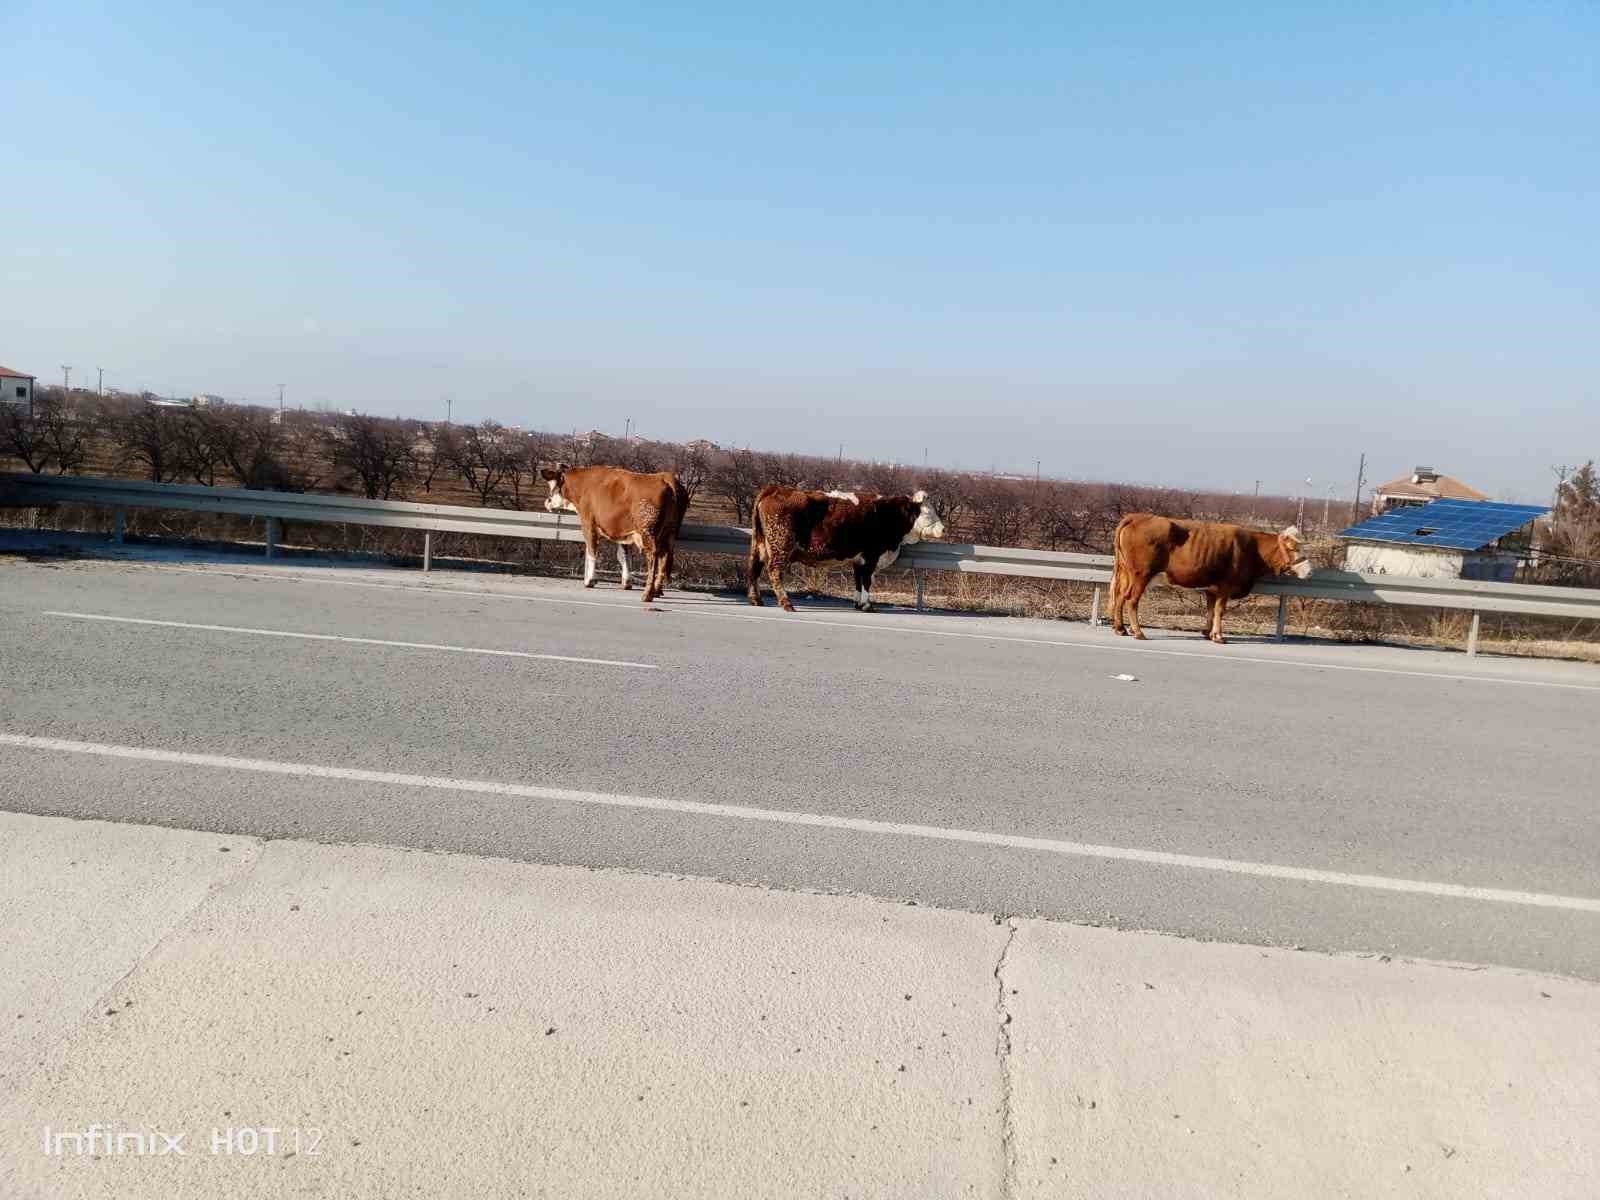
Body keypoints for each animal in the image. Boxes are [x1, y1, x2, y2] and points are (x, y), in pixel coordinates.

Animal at [544, 464, 688, 604]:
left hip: (648, 532)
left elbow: (592, 552)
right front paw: (626, 582)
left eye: (551, 484)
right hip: (669, 533)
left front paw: (589, 580)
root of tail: (665, 477)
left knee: (653, 557)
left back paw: (647, 594)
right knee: (664, 558)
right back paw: (657, 591)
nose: (547, 502)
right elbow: (623, 556)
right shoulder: (622, 533)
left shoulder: (588, 525)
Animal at [745, 483, 940, 611]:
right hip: (781, 545)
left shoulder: (859, 560)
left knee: (754, 568)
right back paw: (786, 603)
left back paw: (756, 599)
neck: (889, 513)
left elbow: (859, 581)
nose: (942, 529)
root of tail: (776, 489)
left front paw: (858, 603)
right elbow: (867, 581)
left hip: (760, 544)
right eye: (927, 512)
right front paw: (868, 605)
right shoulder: (871, 556)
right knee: (774, 571)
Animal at [1113, 518, 1312, 649]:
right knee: (1131, 600)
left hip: (1126, 574)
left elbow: (1210, 609)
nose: (1310, 571)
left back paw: (1120, 628)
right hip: (1141, 575)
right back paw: (1138, 632)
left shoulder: (1212, 589)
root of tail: (1138, 517)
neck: (1252, 548)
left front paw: (1207, 632)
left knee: (1120, 596)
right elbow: (1219, 610)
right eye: (1294, 548)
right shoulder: (1225, 587)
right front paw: (1218, 636)